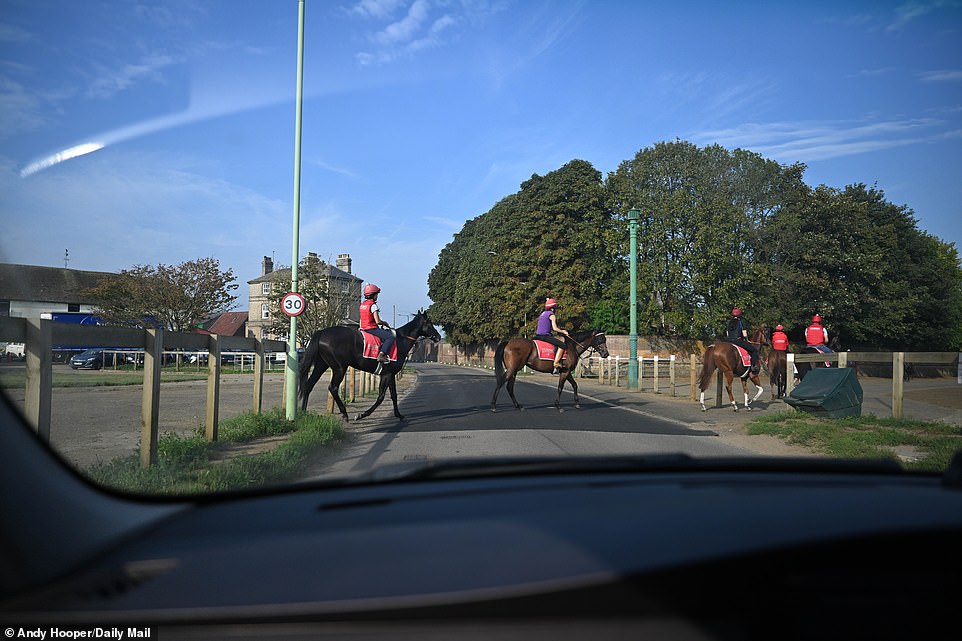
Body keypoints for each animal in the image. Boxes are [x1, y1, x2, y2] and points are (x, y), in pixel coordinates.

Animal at [298, 308, 440, 420]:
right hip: (339, 368)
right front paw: (362, 414)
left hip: (321, 365)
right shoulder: (386, 375)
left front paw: (399, 415)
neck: (400, 341)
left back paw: (303, 413)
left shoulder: (390, 374)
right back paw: (345, 414)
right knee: (332, 388)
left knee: (309, 385)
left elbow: (394, 395)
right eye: (429, 323)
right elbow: (381, 397)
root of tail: (322, 332)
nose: (438, 336)